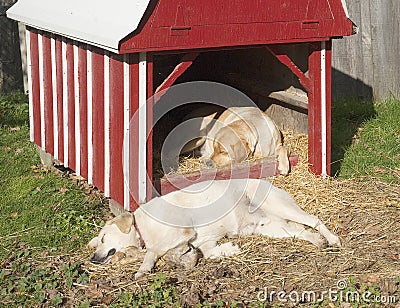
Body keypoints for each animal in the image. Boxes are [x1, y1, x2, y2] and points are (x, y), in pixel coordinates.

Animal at [7, 0, 356, 209]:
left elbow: (283, 152)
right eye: (215, 149)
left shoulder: (275, 140)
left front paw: (284, 165)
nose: (208, 164)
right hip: (193, 133)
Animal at [88, 178, 340, 280]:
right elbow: (206, 253)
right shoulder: (201, 241)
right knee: (302, 231)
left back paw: (332, 239)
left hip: (278, 206)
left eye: (103, 239)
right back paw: (318, 242)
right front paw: (228, 250)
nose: (92, 259)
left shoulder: (183, 231)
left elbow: (154, 250)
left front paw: (144, 268)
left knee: (314, 220)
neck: (143, 227)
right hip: (271, 228)